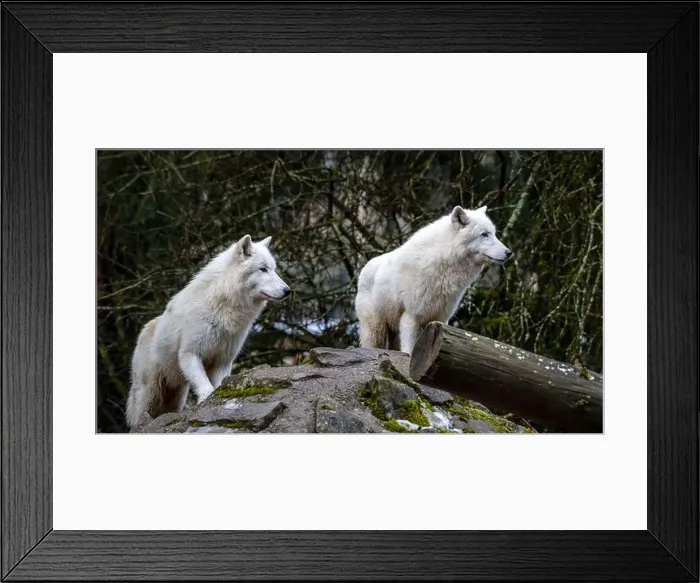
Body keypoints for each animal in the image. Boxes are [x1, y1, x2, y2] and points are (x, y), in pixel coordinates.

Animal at [125, 234, 290, 430]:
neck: (224, 306)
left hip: (176, 395)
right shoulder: (190, 354)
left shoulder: (223, 361)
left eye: (273, 269)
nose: (287, 290)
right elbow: (205, 385)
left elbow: (219, 385)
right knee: (139, 418)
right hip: (150, 391)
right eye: (263, 269)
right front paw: (206, 398)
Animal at [355, 205, 512, 356]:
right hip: (376, 330)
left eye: (494, 234)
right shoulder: (411, 316)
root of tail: (363, 269)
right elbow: (409, 350)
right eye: (484, 234)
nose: (509, 252)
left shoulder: (441, 318)